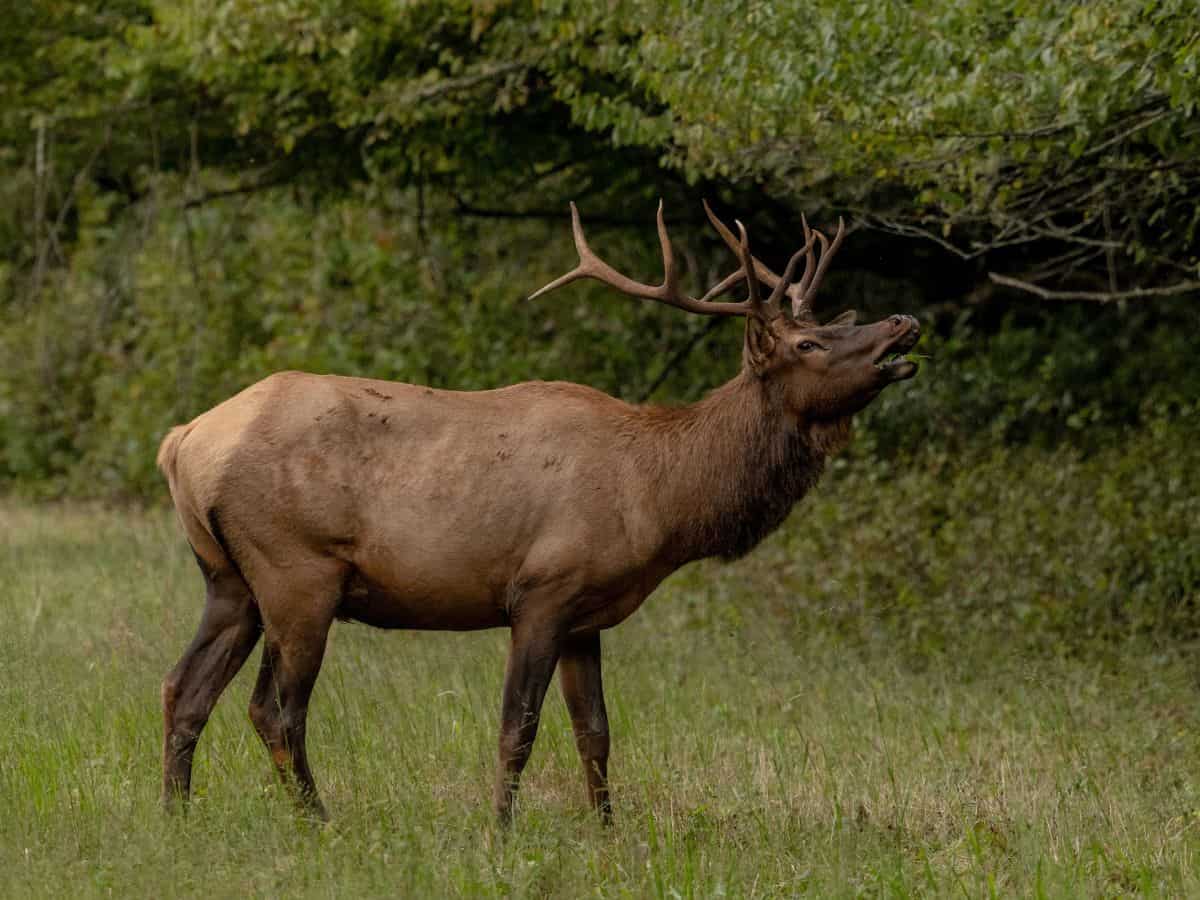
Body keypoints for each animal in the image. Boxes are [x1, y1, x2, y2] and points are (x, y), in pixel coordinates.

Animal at [156, 200, 920, 825]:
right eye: (808, 344)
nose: (903, 321)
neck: (659, 497)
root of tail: (182, 442)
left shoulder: (587, 613)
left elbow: (596, 732)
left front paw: (608, 830)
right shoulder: (541, 591)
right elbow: (517, 727)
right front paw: (502, 828)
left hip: (229, 579)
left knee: (183, 687)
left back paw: (178, 815)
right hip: (297, 571)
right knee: (275, 708)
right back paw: (317, 819)